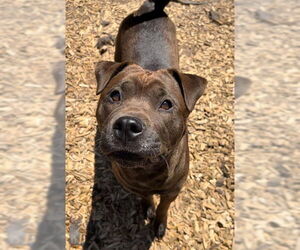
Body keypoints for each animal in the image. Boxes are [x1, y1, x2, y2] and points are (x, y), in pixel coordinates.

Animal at [95, 0, 206, 238]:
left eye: (166, 104)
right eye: (115, 95)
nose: (127, 125)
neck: (148, 171)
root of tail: (150, 7)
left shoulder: (173, 190)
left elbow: (164, 206)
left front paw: (160, 223)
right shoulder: (134, 186)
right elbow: (145, 196)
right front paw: (148, 208)